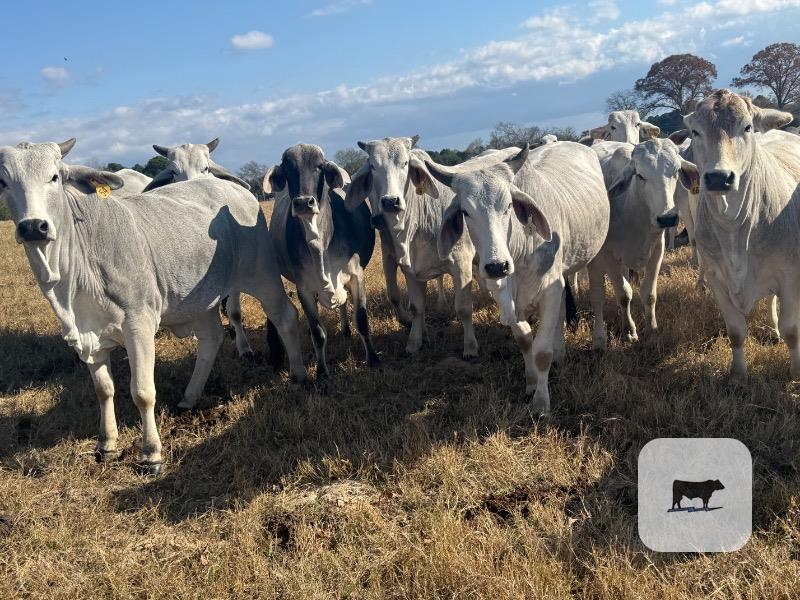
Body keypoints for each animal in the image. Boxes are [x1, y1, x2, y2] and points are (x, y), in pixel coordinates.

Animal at [263, 144, 379, 379]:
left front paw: (373, 359)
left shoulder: (356, 276)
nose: (303, 203)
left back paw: (346, 330)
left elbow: (362, 321)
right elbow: (318, 333)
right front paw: (322, 372)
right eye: (287, 169)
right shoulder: (304, 289)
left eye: (319, 167)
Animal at [344, 136, 517, 357]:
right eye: (373, 166)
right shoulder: (409, 268)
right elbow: (416, 307)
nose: (390, 202)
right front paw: (415, 342)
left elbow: (463, 308)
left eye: (405, 163)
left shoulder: (461, 263)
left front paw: (470, 347)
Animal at [424, 142, 610, 414]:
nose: (497, 266)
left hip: (594, 257)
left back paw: (598, 342)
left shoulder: (550, 289)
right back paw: (561, 353)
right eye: (466, 212)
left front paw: (541, 404)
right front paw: (532, 383)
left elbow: (541, 352)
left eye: (509, 206)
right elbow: (524, 340)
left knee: (597, 300)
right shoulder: (503, 297)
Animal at [589, 138, 699, 347]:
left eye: (676, 171)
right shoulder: (608, 256)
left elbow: (649, 294)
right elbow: (624, 294)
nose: (667, 218)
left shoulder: (657, 251)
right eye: (640, 175)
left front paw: (652, 330)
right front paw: (630, 332)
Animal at [685, 89, 799, 381]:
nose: (718, 177)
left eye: (747, 127)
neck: (734, 228)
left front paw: (796, 373)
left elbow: (792, 331)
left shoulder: (790, 276)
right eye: (696, 131)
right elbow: (736, 332)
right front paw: (738, 376)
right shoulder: (716, 278)